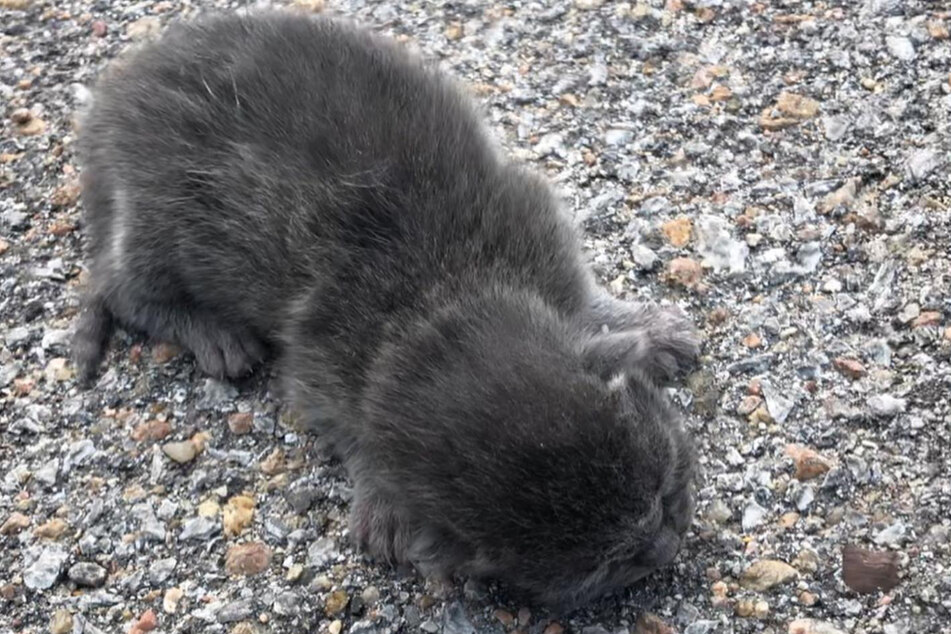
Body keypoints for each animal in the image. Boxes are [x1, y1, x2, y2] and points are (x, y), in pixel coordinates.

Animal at [72, 11, 700, 608]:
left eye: (666, 488)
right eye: (608, 567)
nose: (667, 546)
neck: (439, 295)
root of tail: (109, 100)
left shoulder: (533, 219)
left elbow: (586, 300)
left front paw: (647, 329)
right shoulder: (319, 360)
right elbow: (348, 431)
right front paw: (382, 499)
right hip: (155, 213)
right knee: (118, 286)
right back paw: (209, 331)